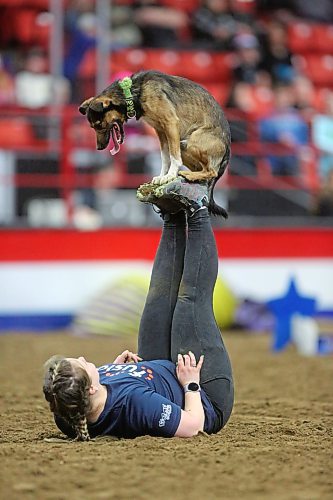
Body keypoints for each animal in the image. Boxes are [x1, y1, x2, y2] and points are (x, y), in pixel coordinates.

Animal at [80, 71, 231, 217]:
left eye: (99, 125)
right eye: (93, 127)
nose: (99, 147)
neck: (134, 92)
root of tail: (228, 149)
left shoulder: (170, 123)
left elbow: (173, 156)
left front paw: (170, 175)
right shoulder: (160, 130)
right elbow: (165, 157)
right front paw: (163, 176)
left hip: (192, 142)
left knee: (211, 172)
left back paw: (189, 175)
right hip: (184, 145)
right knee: (203, 172)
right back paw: (191, 177)